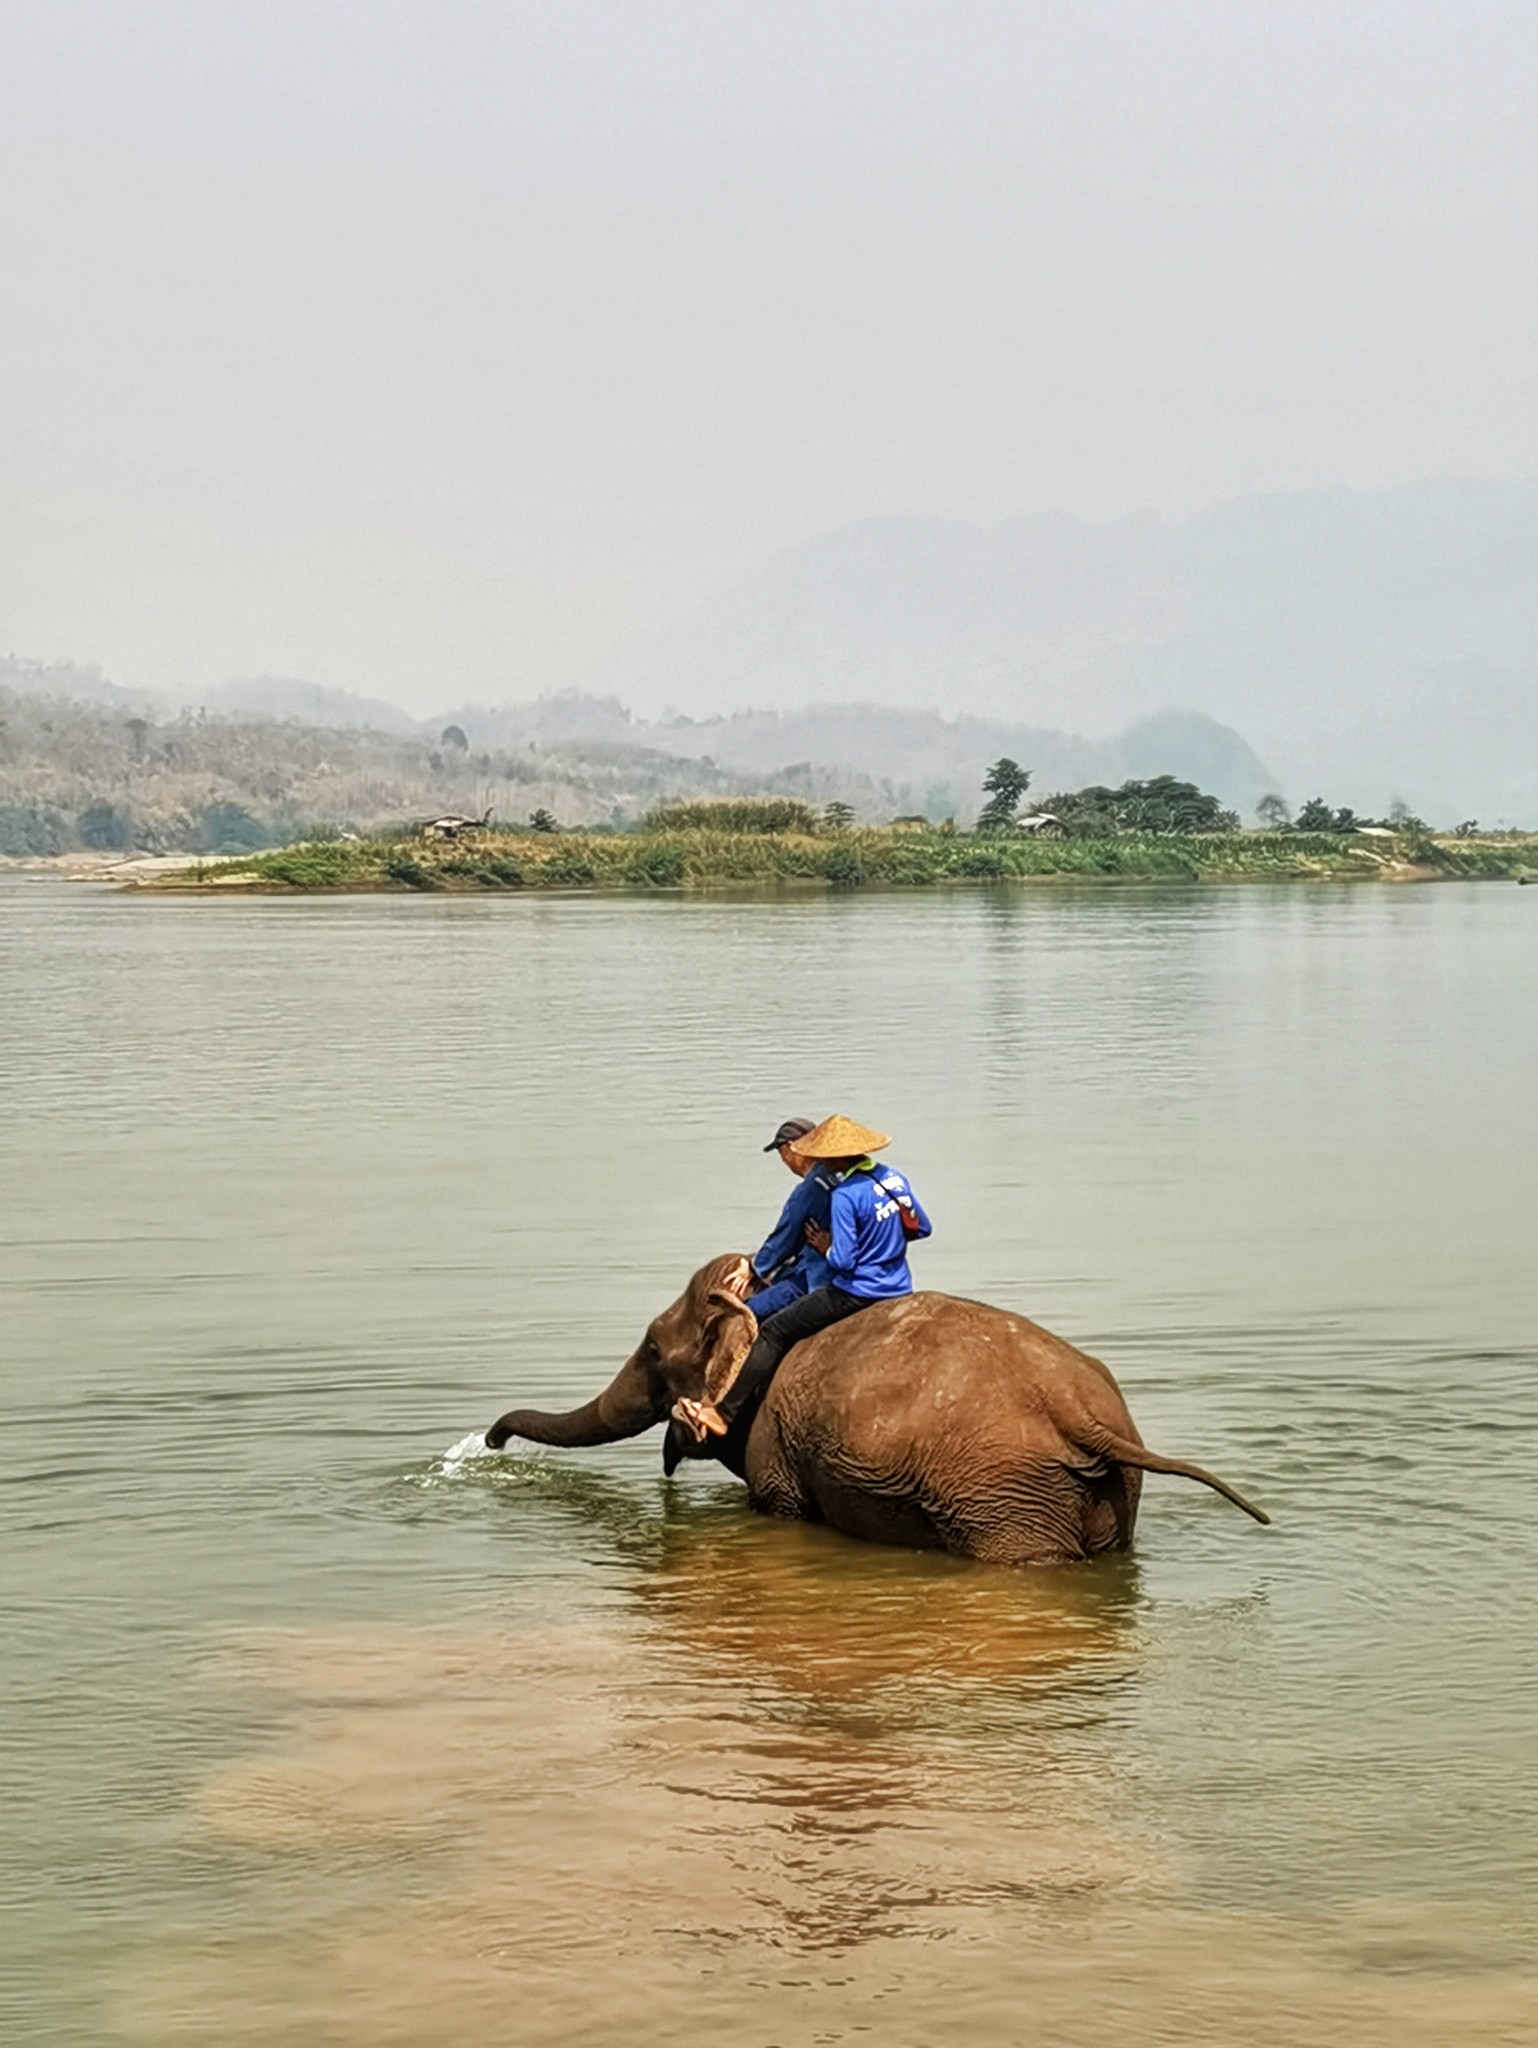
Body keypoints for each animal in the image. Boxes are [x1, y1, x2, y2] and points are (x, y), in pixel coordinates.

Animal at [487, 1245, 1269, 1564]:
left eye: (653, 1350)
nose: (491, 1441)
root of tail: (1082, 1411)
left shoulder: (775, 1451)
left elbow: (779, 1509)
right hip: (1098, 1494)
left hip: (1004, 1495)